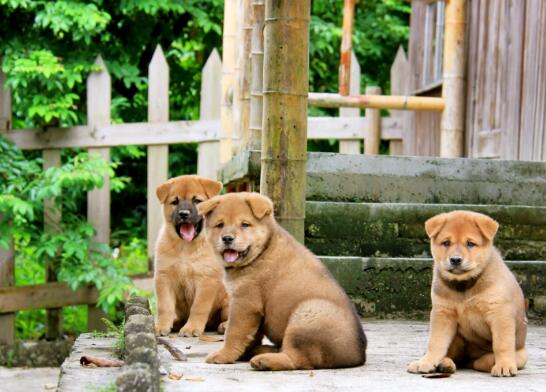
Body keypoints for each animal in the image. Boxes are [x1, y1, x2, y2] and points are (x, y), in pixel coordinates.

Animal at [153, 175, 227, 336]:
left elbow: (198, 307)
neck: (186, 248)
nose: (184, 214)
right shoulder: (164, 277)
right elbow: (164, 306)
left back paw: (224, 326)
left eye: (197, 201)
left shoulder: (206, 279)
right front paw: (161, 326)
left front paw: (192, 328)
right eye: (175, 202)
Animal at [197, 191, 366, 370]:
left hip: (306, 314)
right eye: (220, 225)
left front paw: (223, 355)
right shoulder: (252, 309)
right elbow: (250, 336)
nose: (227, 238)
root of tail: (358, 356)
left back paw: (263, 360)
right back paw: (261, 351)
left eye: (244, 225)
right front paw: (242, 353)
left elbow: (233, 332)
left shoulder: (245, 303)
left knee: (297, 358)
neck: (261, 252)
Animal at [406, 211, 524, 376]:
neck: (463, 286)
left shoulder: (499, 314)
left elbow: (502, 344)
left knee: (484, 360)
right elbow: (435, 343)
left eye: (470, 243)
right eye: (446, 243)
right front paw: (426, 362)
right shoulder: (443, 313)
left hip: (520, 354)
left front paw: (504, 365)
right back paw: (444, 364)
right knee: (452, 354)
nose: (455, 259)